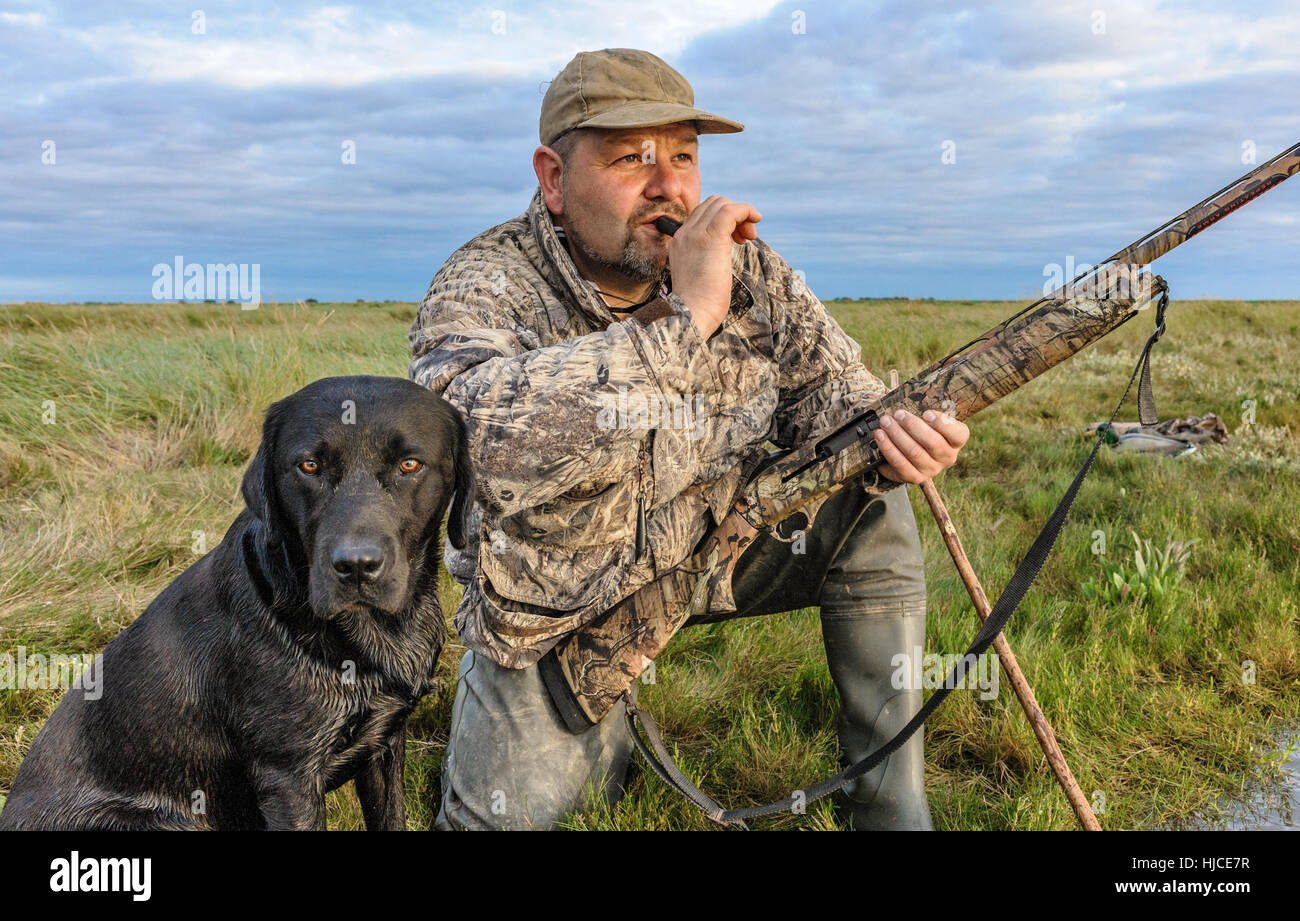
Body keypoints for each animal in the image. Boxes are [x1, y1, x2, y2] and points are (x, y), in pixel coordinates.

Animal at [0, 374, 475, 827]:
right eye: (309, 466)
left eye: (410, 464)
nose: (356, 566)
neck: (370, 635)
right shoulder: (288, 776)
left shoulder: (384, 742)